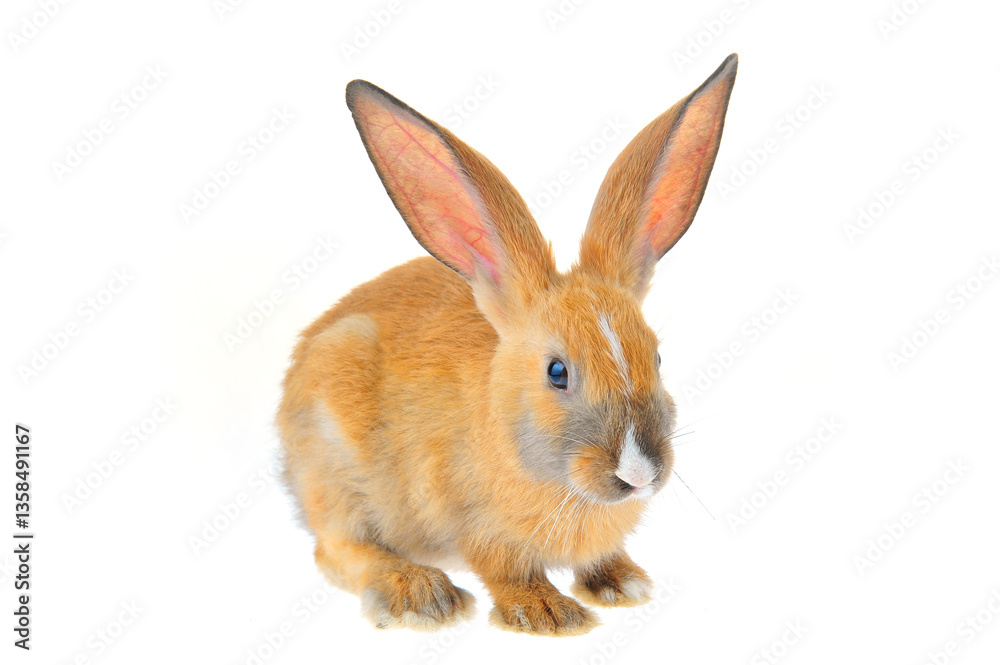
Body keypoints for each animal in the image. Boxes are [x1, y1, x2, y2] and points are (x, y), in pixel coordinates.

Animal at [277, 53, 738, 636]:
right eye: (557, 372)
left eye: (657, 357)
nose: (638, 473)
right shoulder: (476, 527)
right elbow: (506, 570)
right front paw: (549, 614)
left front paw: (623, 584)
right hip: (333, 468)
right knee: (337, 549)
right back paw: (420, 594)